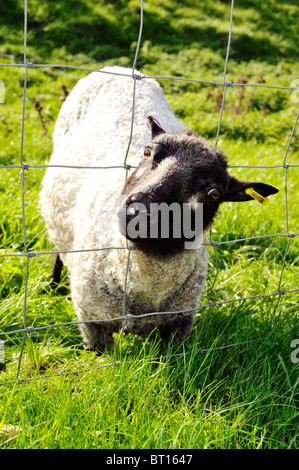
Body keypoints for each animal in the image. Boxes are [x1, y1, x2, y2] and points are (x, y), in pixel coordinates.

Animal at [39, 67, 278, 352]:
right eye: (146, 152)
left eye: (214, 194)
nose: (139, 209)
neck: (145, 285)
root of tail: (120, 69)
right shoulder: (92, 321)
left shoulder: (178, 325)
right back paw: (53, 286)